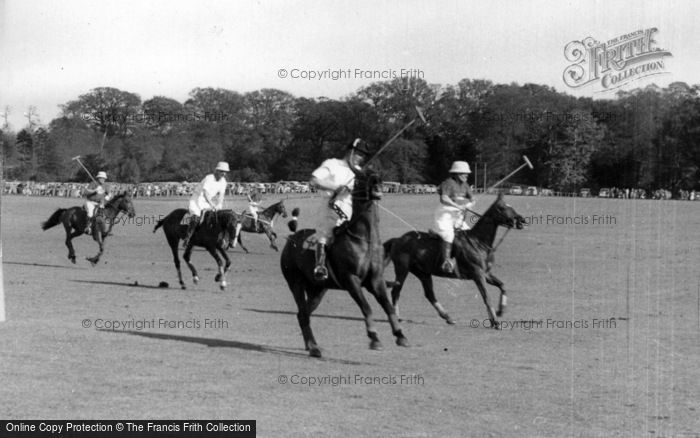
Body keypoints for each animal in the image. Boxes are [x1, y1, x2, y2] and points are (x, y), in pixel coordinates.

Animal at [280, 169, 410, 358]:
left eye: (376, 172)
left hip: (317, 289)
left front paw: (400, 335)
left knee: (303, 313)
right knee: (303, 313)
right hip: (295, 282)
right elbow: (367, 307)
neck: (364, 239)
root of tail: (292, 238)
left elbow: (388, 307)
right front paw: (374, 338)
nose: (377, 182)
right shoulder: (351, 279)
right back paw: (314, 348)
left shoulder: (375, 280)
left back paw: (310, 345)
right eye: (361, 177)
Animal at [382, 194, 524, 328]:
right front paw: (495, 322)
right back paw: (397, 317)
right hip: (402, 269)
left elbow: (502, 285)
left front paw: (500, 311)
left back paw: (448, 317)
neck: (479, 242)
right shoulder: (478, 274)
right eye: (502, 208)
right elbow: (486, 297)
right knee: (396, 292)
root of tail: (397, 239)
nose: (521, 220)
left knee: (429, 294)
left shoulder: (486, 274)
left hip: (423, 273)